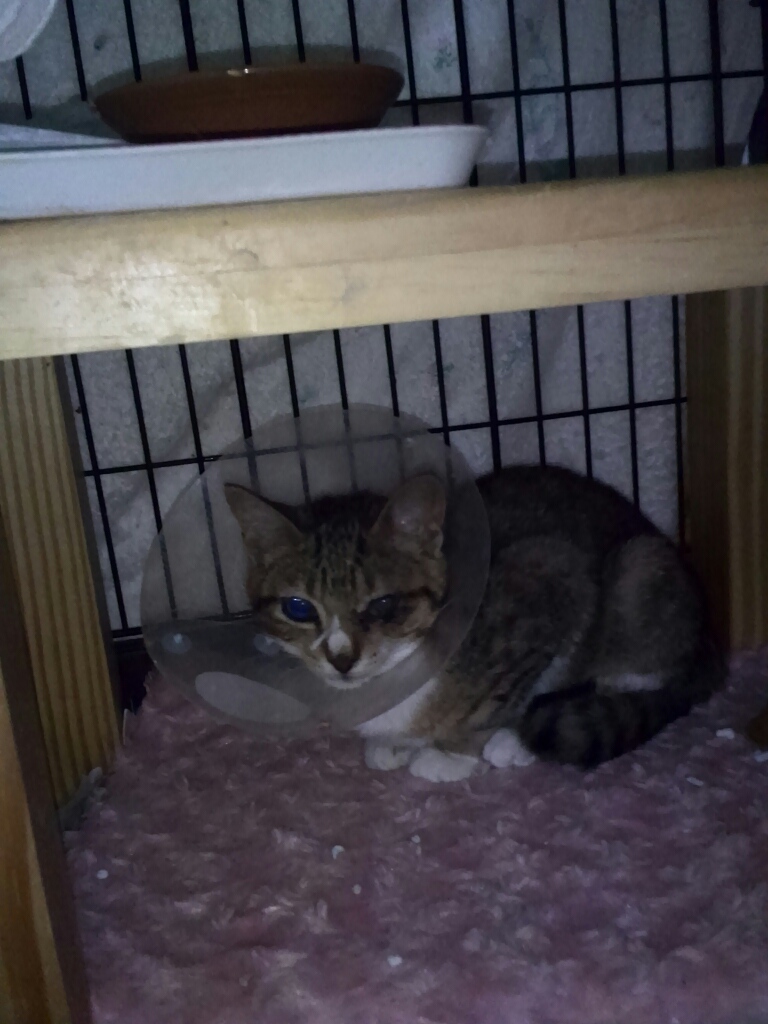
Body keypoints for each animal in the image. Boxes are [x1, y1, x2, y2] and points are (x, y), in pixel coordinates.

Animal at [224, 465, 723, 783]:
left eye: (383, 604)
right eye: (299, 608)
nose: (341, 659)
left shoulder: (551, 576)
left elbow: (513, 688)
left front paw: (457, 753)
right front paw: (397, 743)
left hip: (641, 575)